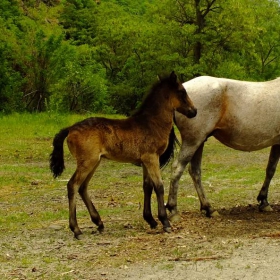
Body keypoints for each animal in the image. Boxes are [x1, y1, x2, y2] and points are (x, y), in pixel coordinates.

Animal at [165, 75, 280, 218]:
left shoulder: (276, 143)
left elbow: (270, 169)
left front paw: (264, 202)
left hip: (199, 142)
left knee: (195, 171)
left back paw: (208, 208)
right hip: (192, 141)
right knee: (177, 168)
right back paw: (173, 209)